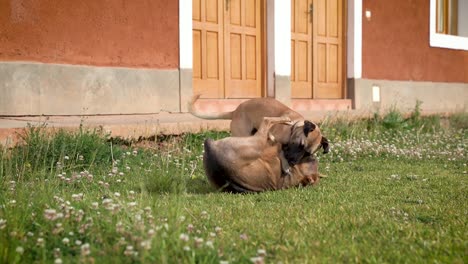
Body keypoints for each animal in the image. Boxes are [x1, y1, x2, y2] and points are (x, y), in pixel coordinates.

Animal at [190, 95, 330, 173]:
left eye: (308, 153)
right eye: (300, 145)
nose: (293, 162)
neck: (293, 127)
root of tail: (235, 111)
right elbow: (280, 152)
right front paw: (285, 165)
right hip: (244, 136)